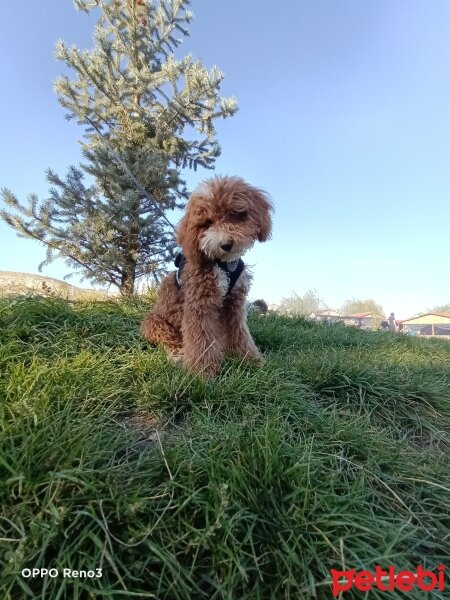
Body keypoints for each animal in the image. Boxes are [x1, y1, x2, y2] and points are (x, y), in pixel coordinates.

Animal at [141, 176, 272, 378]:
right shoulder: (199, 304)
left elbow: (240, 334)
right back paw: (178, 357)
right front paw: (201, 373)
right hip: (154, 322)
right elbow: (201, 340)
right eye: (207, 222)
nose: (226, 244)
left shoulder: (235, 305)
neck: (224, 264)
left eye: (234, 214)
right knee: (171, 342)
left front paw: (251, 360)